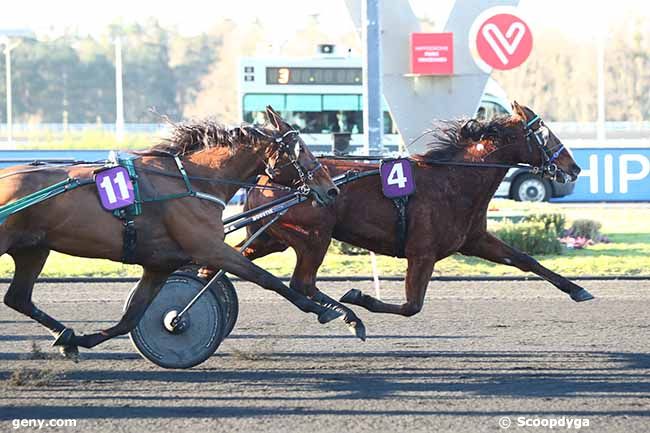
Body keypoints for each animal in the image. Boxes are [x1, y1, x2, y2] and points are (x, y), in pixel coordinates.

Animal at [0, 106, 342, 356]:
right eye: (301, 149)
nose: (331, 190)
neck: (194, 181)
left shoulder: (159, 264)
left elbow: (130, 318)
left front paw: (79, 341)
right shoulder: (210, 248)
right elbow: (266, 278)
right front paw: (321, 309)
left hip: (33, 248)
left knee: (18, 298)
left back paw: (65, 332)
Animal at [228, 102, 592, 338]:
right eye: (544, 135)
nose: (574, 167)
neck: (454, 179)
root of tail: (266, 175)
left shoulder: (475, 240)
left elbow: (525, 259)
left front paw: (578, 289)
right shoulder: (422, 253)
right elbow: (411, 306)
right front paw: (359, 297)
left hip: (271, 238)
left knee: (236, 261)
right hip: (314, 236)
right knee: (301, 283)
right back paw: (347, 316)